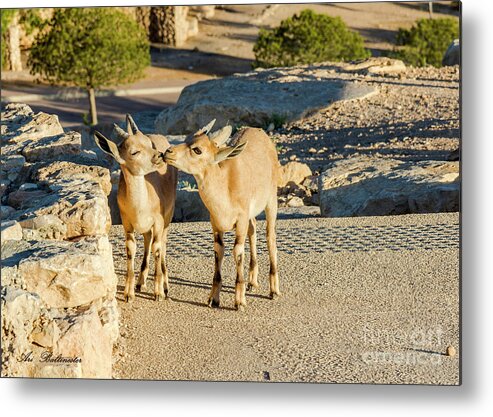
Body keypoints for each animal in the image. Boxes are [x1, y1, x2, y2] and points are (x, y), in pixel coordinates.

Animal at [94, 115, 177, 300]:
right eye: (134, 152)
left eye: (149, 144)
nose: (160, 155)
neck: (140, 207)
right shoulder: (127, 224)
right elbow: (131, 250)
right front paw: (128, 294)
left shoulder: (158, 221)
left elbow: (157, 248)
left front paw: (158, 293)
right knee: (147, 241)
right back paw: (140, 282)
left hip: (168, 216)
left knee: (162, 243)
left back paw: (165, 286)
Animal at [164, 120, 280, 308]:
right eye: (188, 138)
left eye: (197, 149)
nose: (168, 152)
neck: (225, 188)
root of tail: (260, 132)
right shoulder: (216, 223)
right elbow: (219, 251)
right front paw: (213, 299)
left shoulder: (240, 220)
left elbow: (237, 251)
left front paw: (239, 301)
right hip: (251, 214)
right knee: (253, 230)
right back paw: (252, 282)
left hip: (271, 200)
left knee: (270, 237)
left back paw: (274, 291)